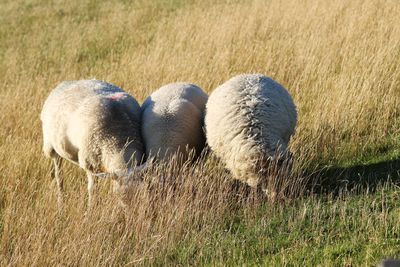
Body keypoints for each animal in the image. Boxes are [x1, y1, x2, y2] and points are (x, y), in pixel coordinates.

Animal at [40, 79, 144, 211]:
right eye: (121, 195)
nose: (131, 214)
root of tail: (69, 82)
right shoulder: (90, 162)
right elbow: (92, 190)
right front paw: (91, 210)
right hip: (51, 147)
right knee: (59, 175)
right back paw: (61, 203)